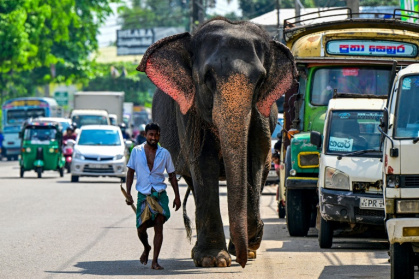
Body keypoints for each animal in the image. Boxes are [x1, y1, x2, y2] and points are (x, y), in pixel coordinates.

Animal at [138, 17, 298, 270]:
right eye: (208, 78)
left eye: (261, 80)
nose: (241, 261)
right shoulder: (189, 113)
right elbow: (204, 163)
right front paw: (212, 260)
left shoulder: (262, 116)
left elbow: (255, 162)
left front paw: (250, 243)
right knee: (194, 183)